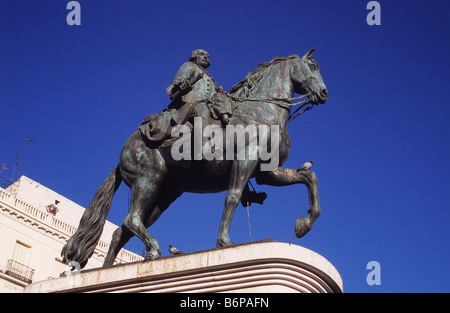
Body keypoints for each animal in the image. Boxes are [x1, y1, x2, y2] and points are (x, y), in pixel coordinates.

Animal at [61, 48, 326, 268]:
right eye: (313, 66)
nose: (323, 93)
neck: (261, 112)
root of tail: (125, 149)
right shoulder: (245, 161)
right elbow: (232, 197)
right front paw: (224, 242)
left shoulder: (267, 172)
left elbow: (310, 177)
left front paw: (303, 224)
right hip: (148, 179)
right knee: (132, 219)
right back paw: (154, 250)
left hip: (163, 195)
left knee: (122, 230)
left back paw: (107, 269)